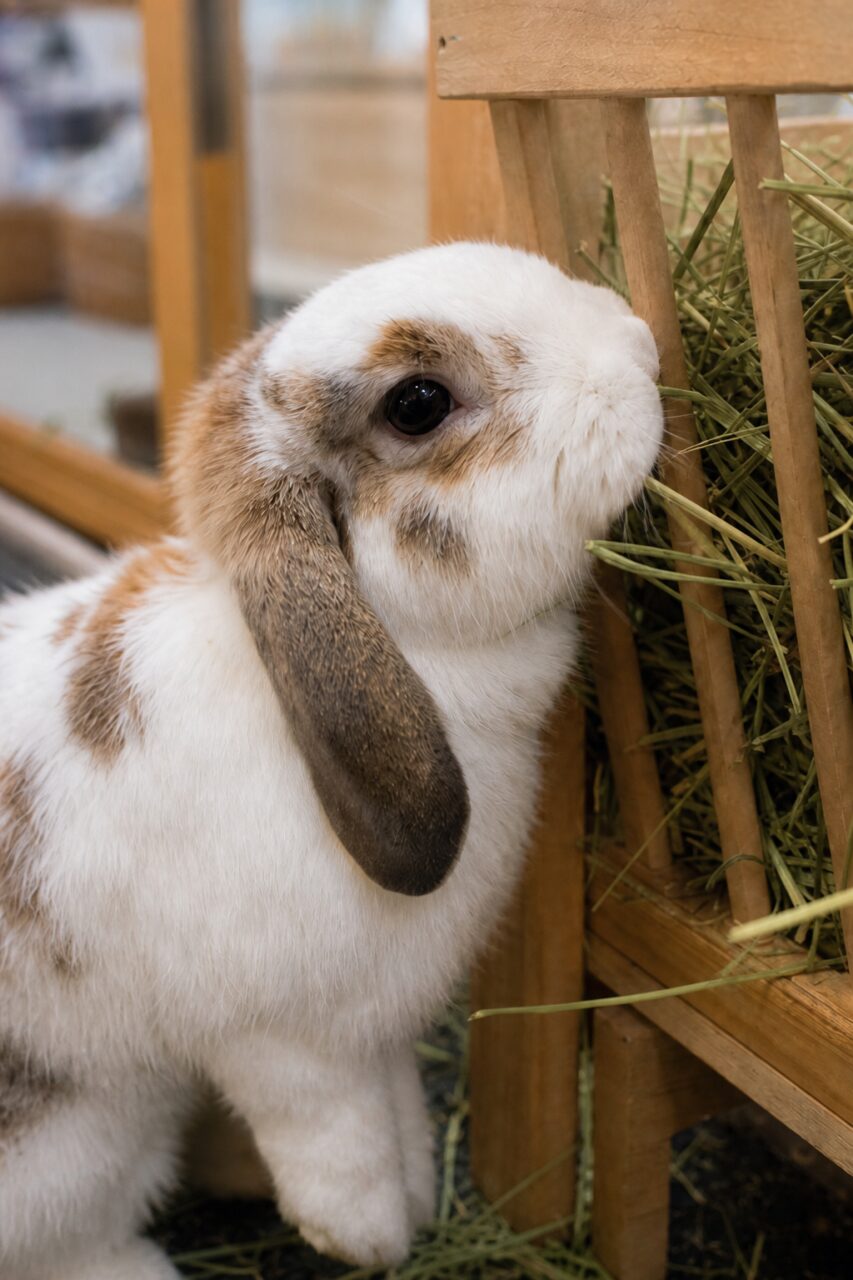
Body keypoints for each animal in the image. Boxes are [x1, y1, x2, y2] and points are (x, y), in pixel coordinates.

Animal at [0, 241, 663, 1279]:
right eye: (417, 403)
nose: (640, 350)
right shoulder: (283, 1043)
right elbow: (335, 1141)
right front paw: (368, 1237)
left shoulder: (375, 1033)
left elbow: (393, 1114)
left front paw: (421, 1196)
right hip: (82, 1138)